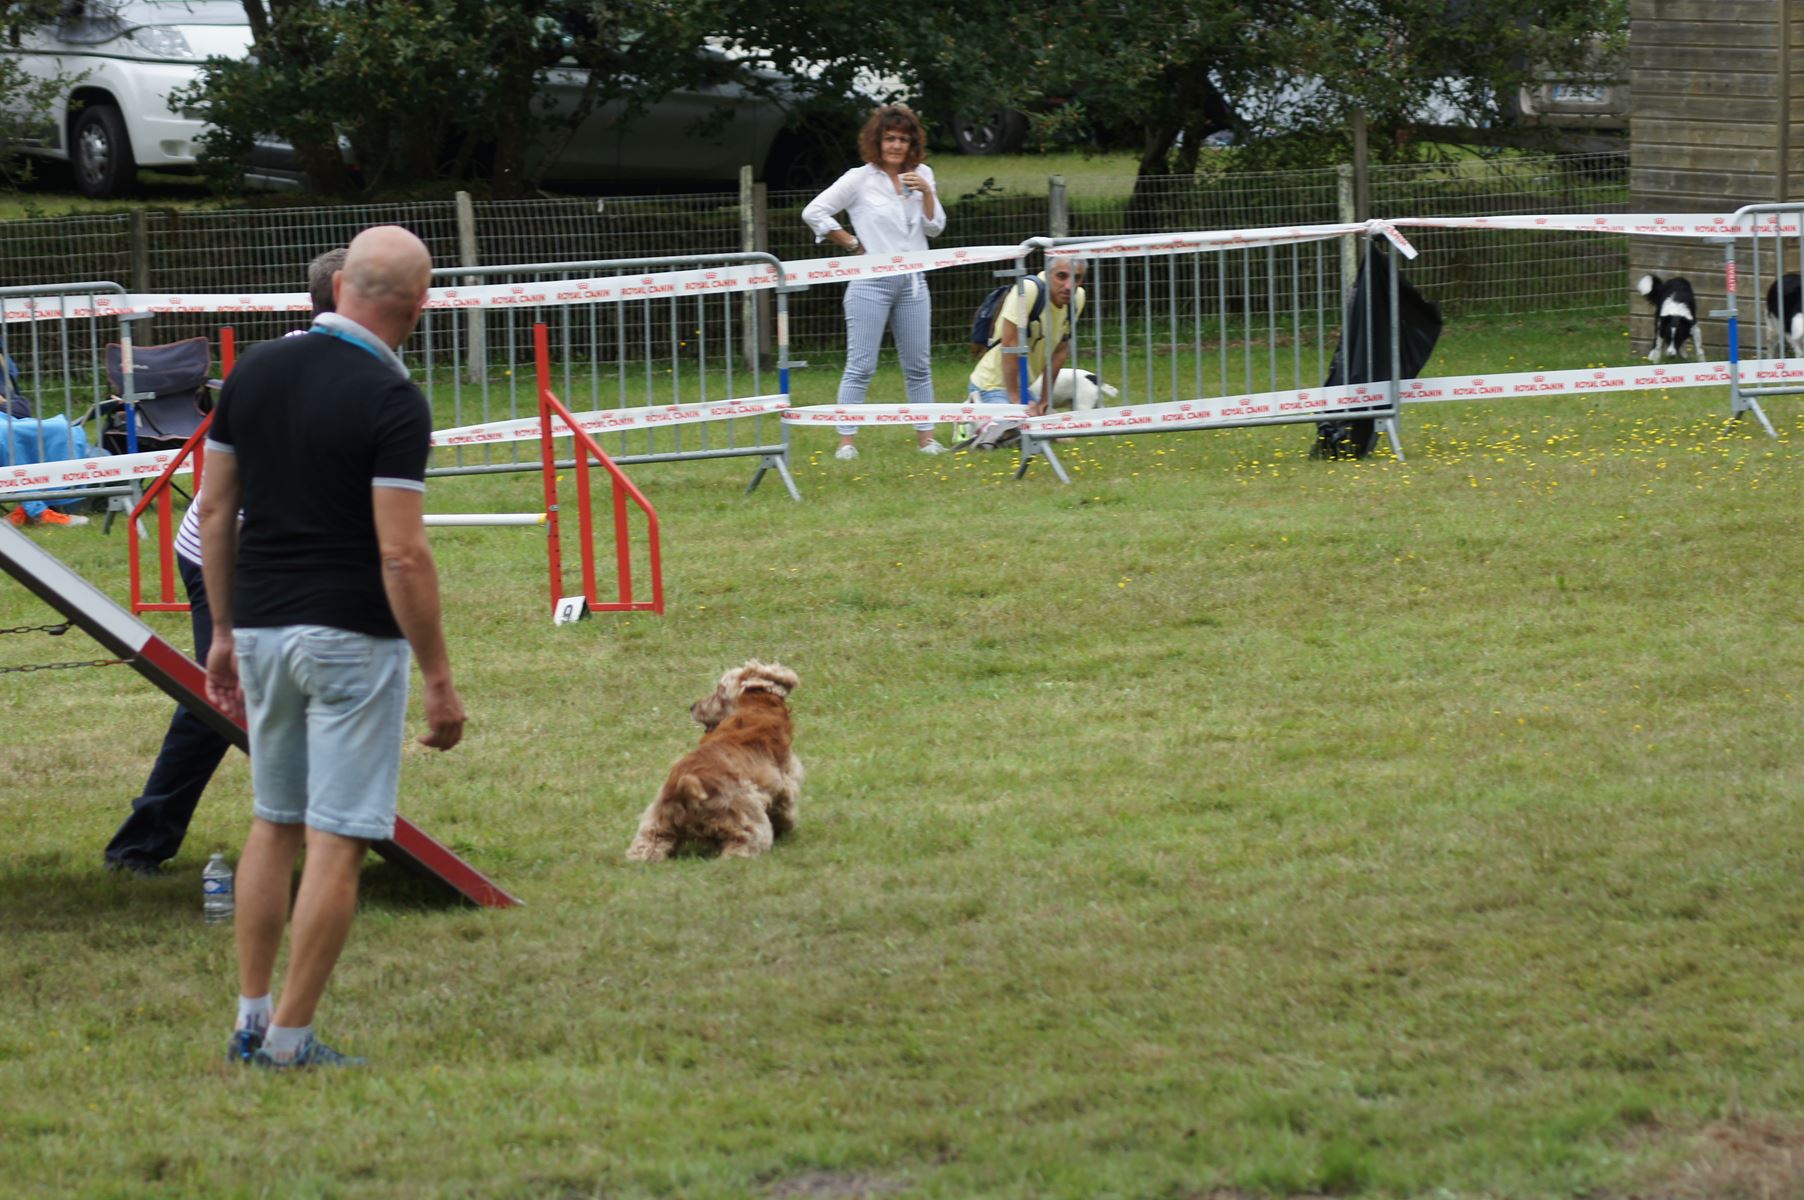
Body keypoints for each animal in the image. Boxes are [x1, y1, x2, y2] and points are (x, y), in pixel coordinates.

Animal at [631, 660, 808, 855]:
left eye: (717, 692)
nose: (692, 706)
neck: (755, 706)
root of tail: (686, 787)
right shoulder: (786, 780)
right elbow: (786, 807)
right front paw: (787, 826)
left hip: (657, 824)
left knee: (647, 845)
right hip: (747, 817)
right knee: (742, 845)